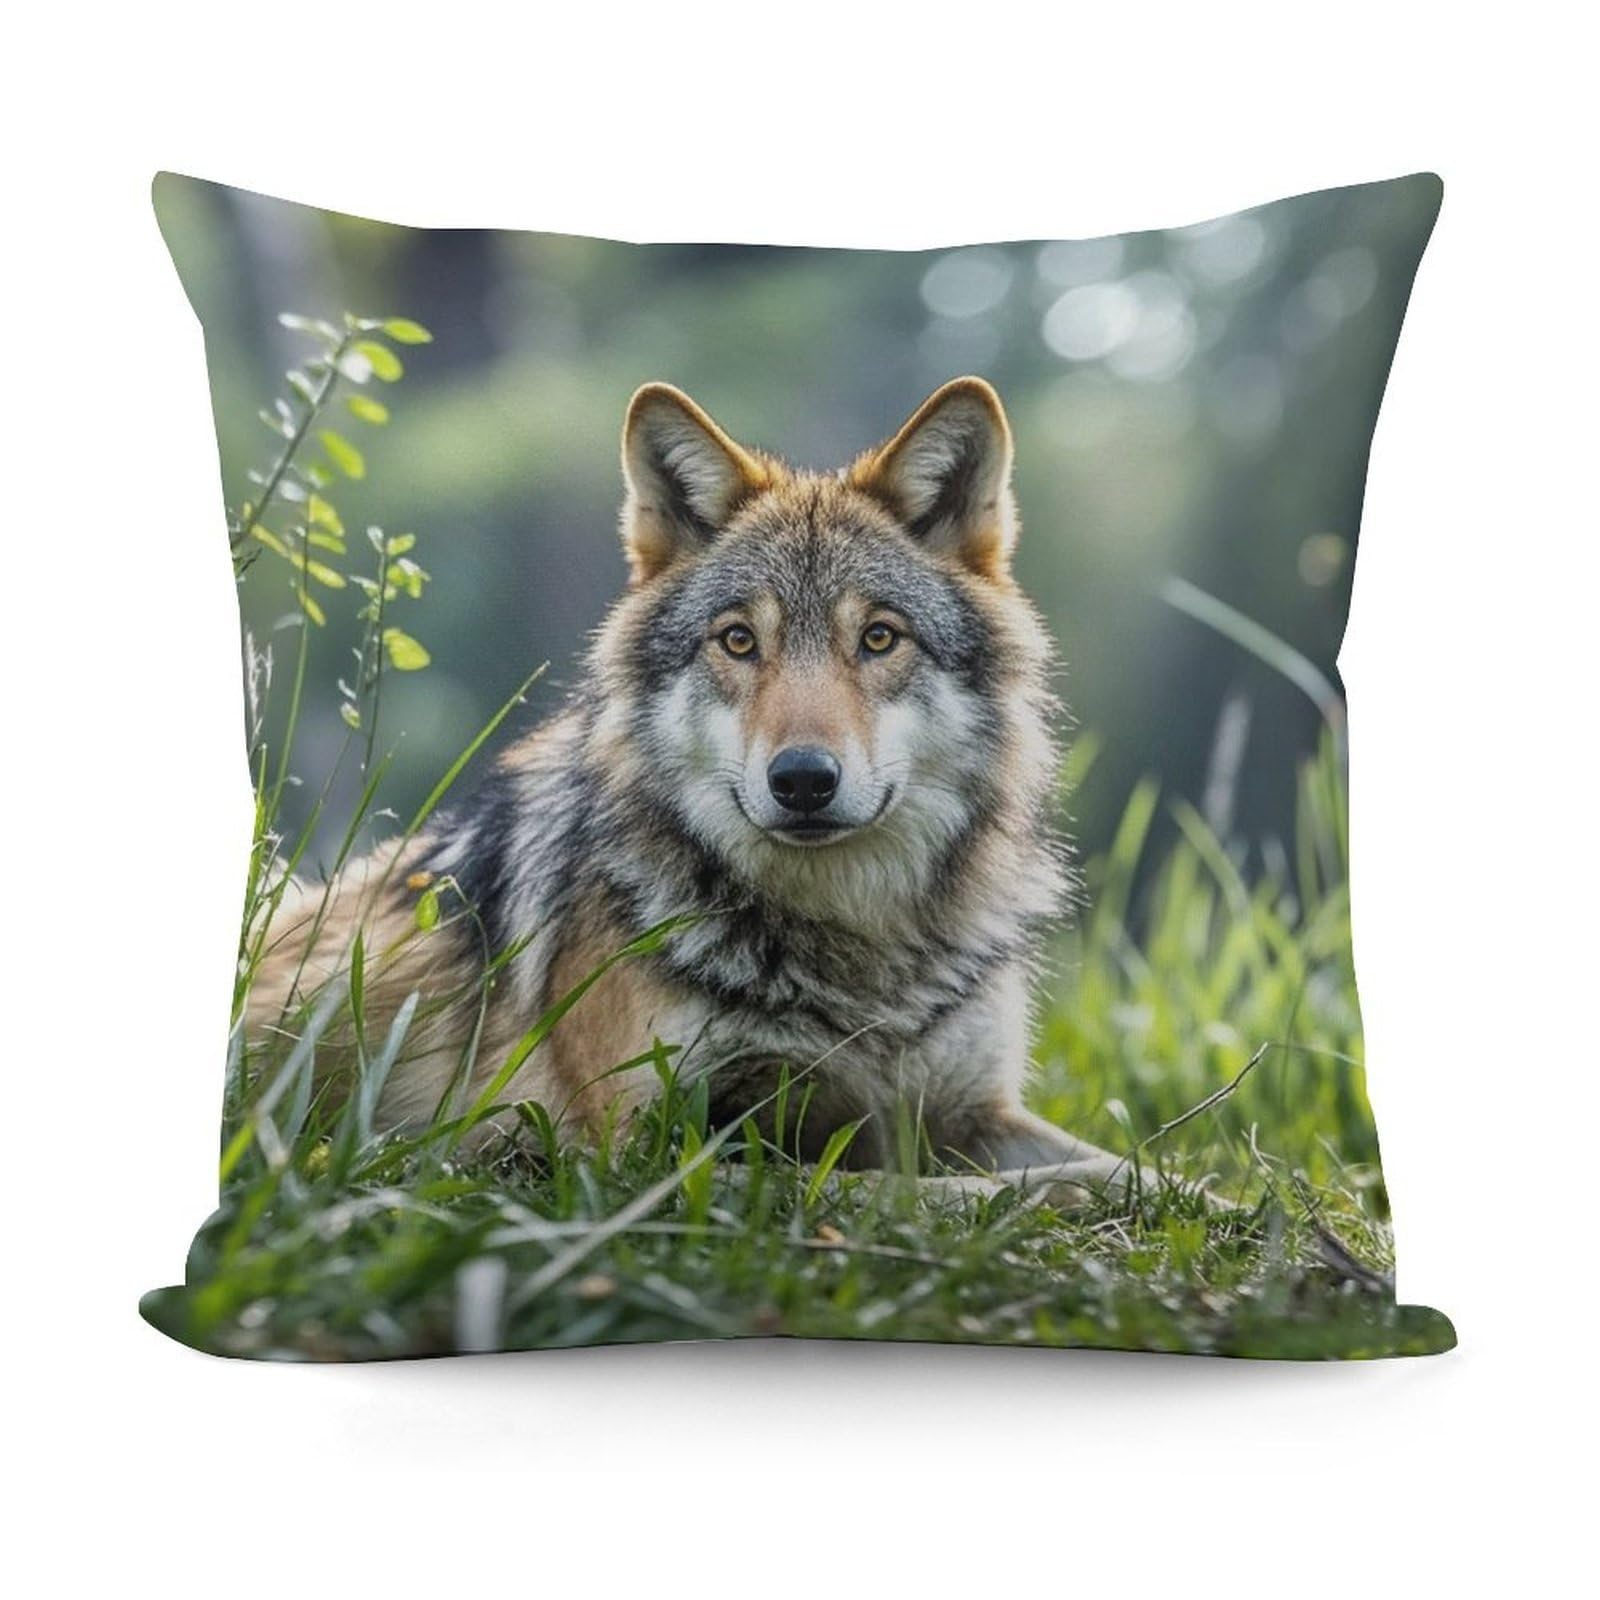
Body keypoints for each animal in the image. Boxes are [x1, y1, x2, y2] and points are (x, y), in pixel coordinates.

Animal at [251, 377, 1129, 1191]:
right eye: (738, 641)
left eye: (880, 638)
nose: (802, 780)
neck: (852, 949)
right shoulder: (647, 1148)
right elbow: (928, 1189)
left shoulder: (974, 1110)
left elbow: (1126, 1169)